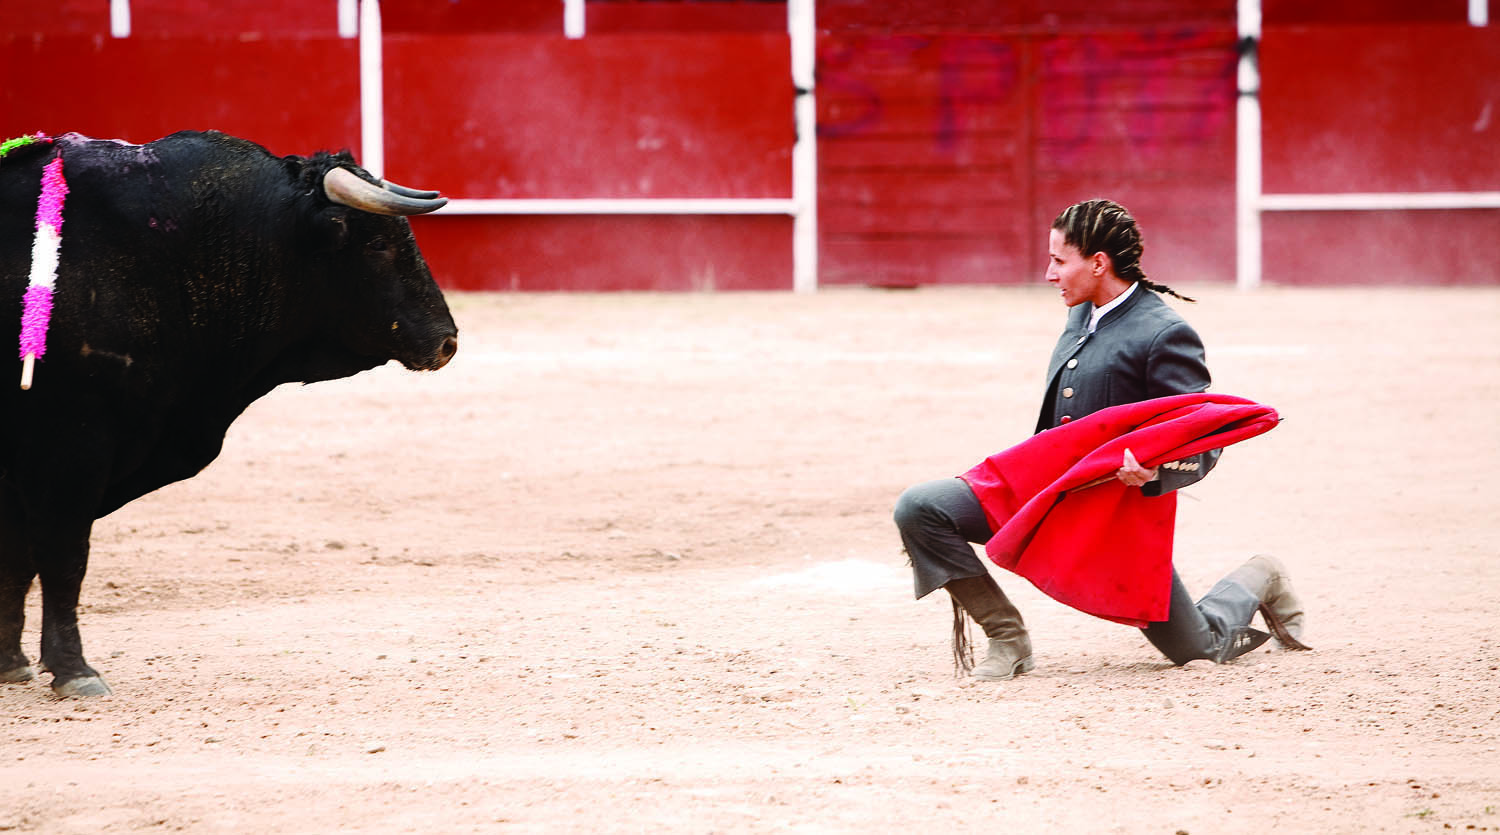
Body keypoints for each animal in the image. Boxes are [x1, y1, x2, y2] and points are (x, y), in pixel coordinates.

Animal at [0, 130, 456, 695]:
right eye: (377, 245)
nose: (447, 341)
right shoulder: (68, 443)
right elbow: (63, 556)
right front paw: (74, 670)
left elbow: (16, 556)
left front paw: (11, 661)